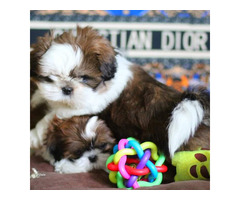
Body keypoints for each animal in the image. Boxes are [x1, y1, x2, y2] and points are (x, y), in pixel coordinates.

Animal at [30, 26, 210, 161]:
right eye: (49, 78)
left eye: (84, 78)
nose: (66, 88)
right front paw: (36, 97)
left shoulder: (87, 105)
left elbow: (51, 116)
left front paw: (34, 136)